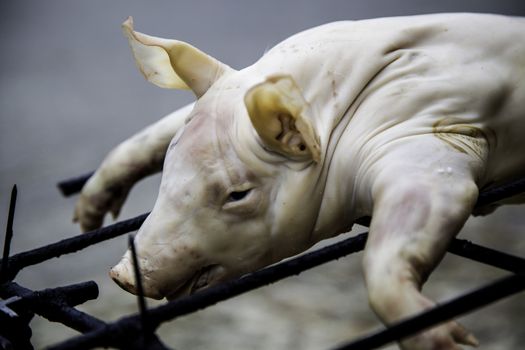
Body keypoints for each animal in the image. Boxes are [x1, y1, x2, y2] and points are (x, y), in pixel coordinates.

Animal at [74, 13, 524, 350]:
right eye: (169, 168)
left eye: (238, 195)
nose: (122, 276)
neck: (330, 108)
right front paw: (89, 211)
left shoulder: (425, 131)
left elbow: (423, 202)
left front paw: (450, 341)